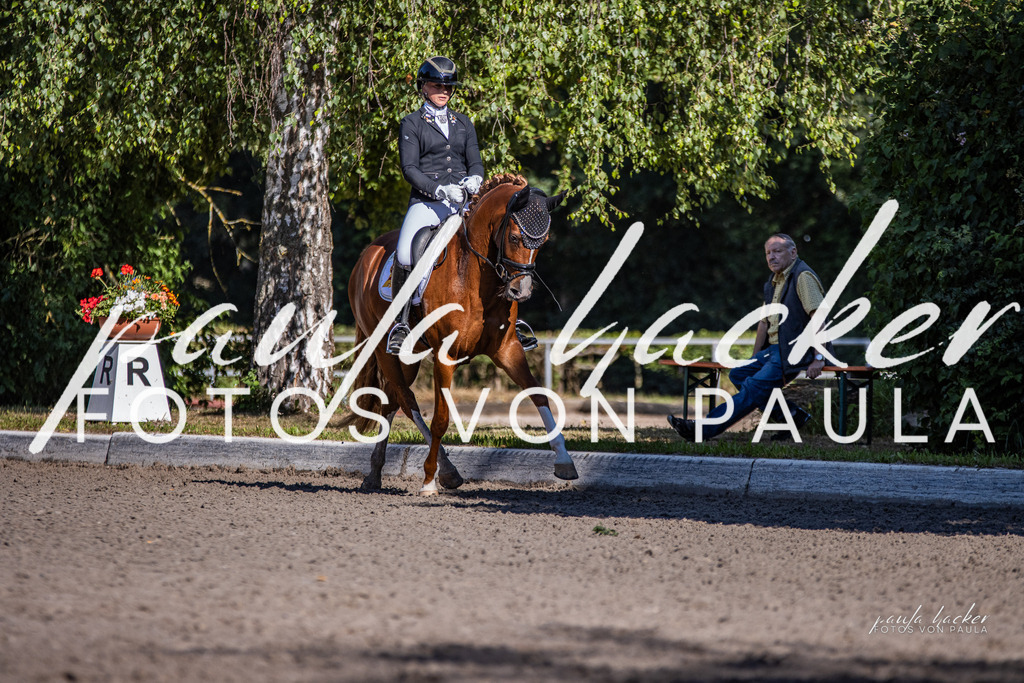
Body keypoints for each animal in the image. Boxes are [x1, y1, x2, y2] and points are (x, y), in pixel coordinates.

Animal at [342, 173, 579, 495]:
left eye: (542, 242)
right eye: (514, 238)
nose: (521, 291)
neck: (476, 276)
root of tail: (368, 254)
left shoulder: (508, 350)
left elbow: (539, 395)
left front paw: (565, 461)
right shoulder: (445, 355)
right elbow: (441, 418)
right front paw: (429, 481)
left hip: (409, 357)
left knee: (393, 399)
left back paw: (376, 474)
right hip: (383, 348)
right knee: (407, 400)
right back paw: (444, 471)